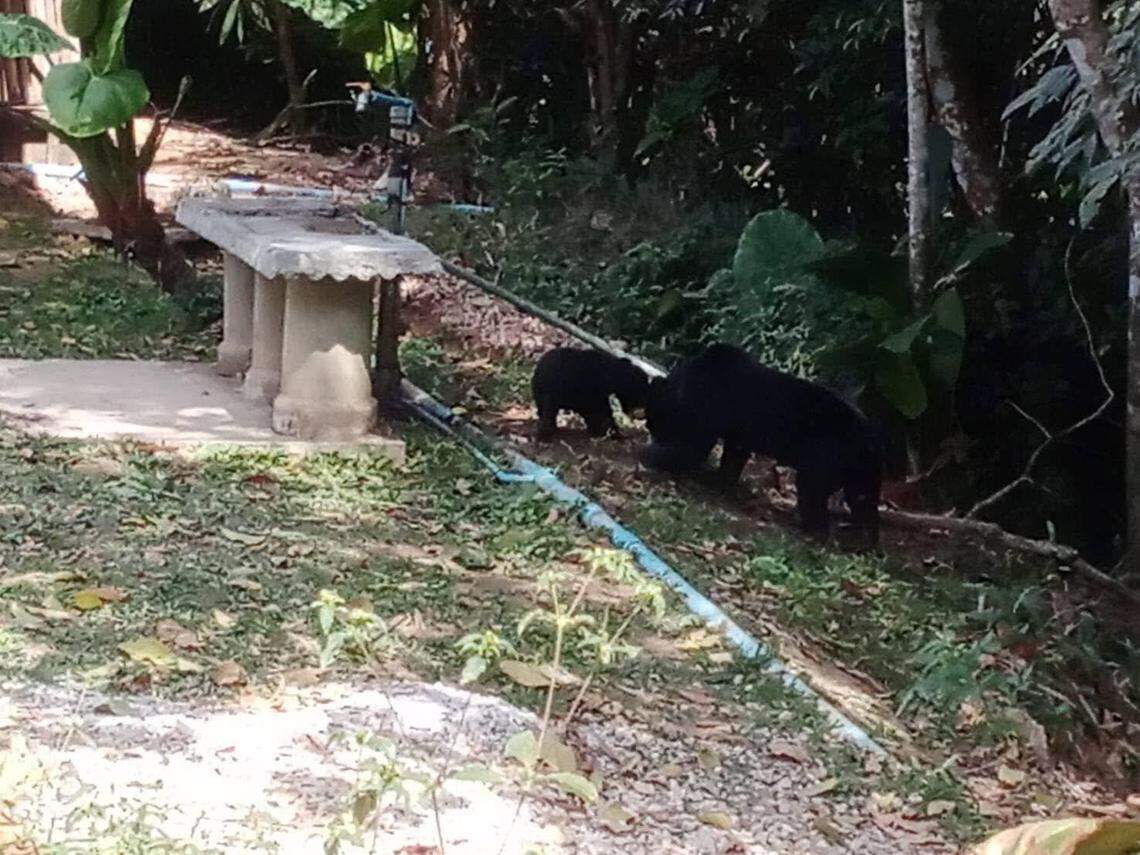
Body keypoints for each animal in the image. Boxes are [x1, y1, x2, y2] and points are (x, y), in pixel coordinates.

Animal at [642, 343, 882, 548]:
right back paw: (866, 545)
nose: (653, 433)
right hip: (861, 479)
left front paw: (651, 456)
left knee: (813, 498)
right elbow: (731, 463)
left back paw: (813, 531)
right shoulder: (737, 440)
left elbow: (689, 451)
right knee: (865, 505)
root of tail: (867, 438)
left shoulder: (703, 427)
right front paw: (721, 484)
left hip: (820, 468)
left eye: (654, 421)